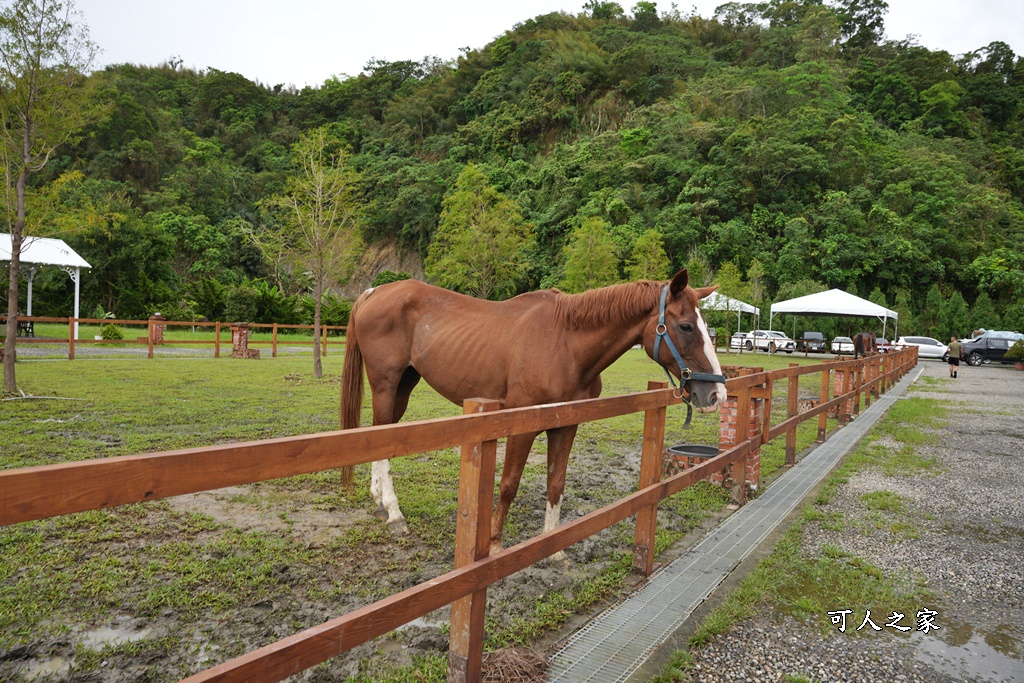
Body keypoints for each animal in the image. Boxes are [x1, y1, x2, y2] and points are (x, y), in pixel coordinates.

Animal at [339, 266, 724, 557]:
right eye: (686, 326)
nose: (716, 393)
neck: (566, 344)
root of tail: (374, 291)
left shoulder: (567, 426)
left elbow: (556, 482)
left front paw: (553, 549)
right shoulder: (520, 427)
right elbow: (509, 483)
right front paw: (494, 543)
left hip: (404, 384)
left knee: (381, 435)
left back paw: (379, 500)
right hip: (386, 384)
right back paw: (394, 513)